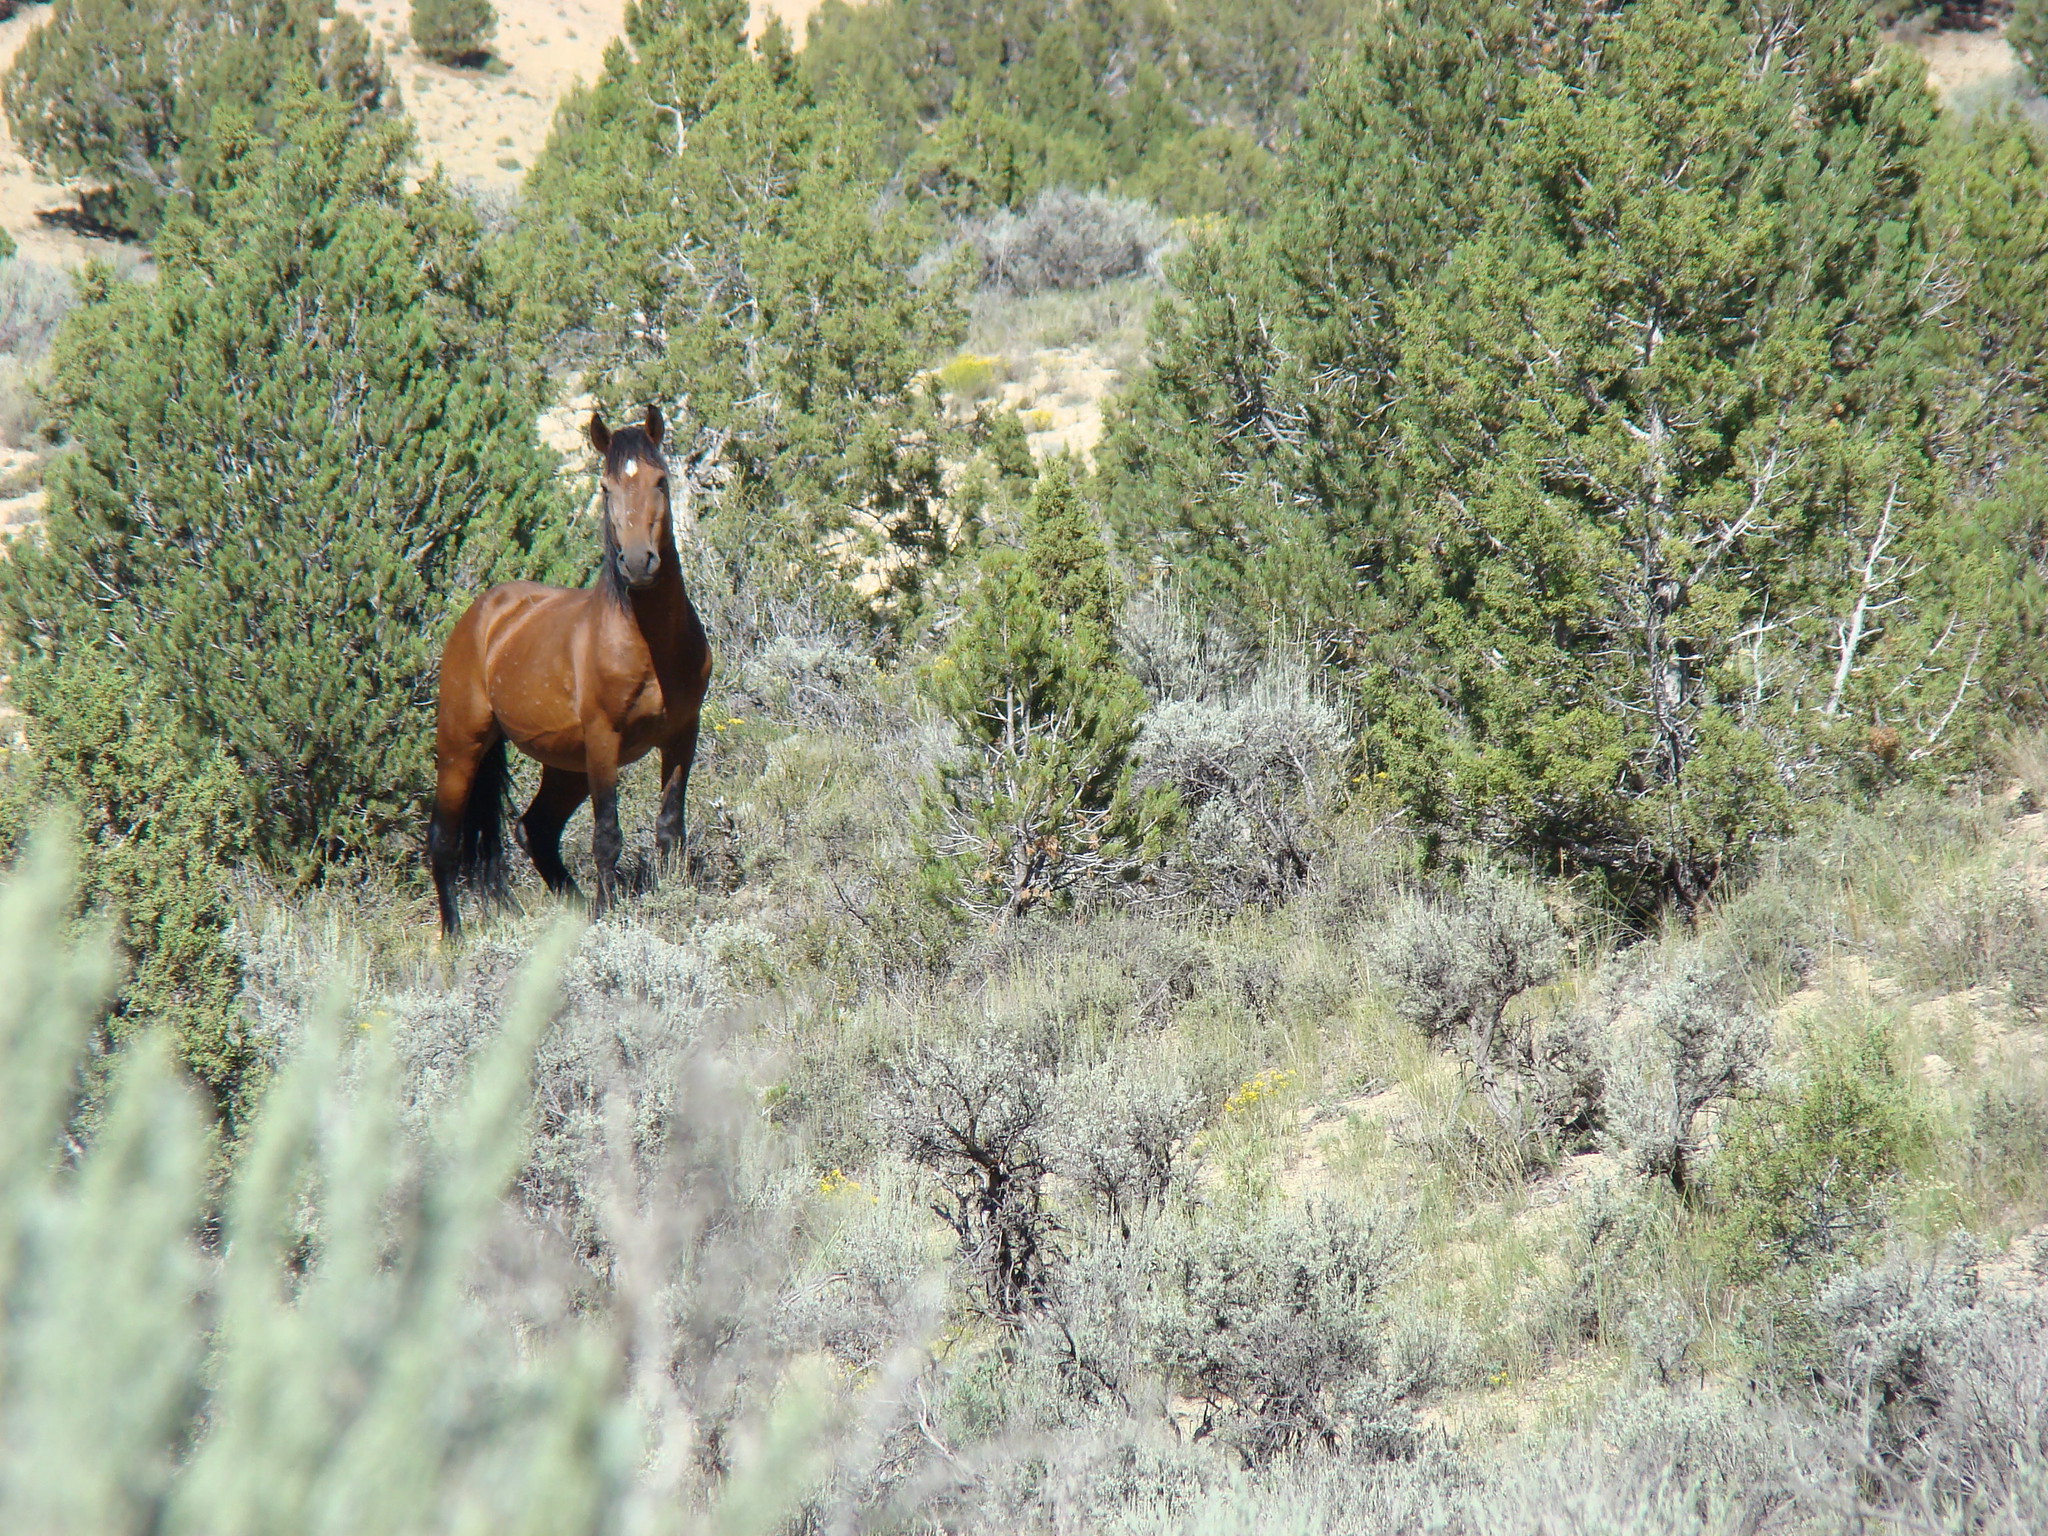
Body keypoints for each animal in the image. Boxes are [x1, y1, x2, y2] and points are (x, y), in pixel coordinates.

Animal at [423, 405, 712, 937]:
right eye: (605, 487)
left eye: (661, 481)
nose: (637, 562)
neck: (648, 645)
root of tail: (483, 613)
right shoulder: (604, 740)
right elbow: (607, 835)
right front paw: (608, 915)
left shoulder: (683, 735)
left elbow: (670, 826)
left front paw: (672, 902)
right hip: (461, 747)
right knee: (444, 839)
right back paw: (453, 937)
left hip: (565, 766)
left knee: (534, 830)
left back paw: (570, 913)